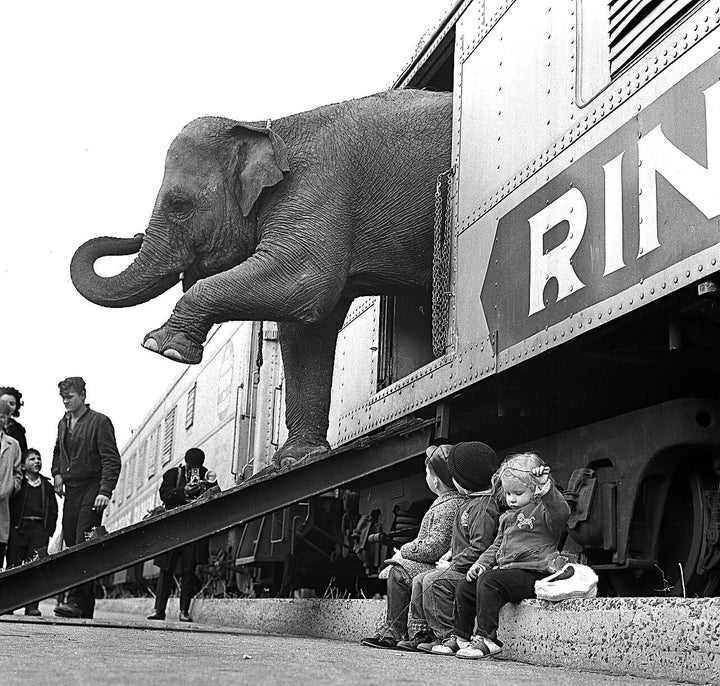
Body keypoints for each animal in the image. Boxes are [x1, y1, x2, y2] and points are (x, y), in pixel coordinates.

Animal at [71, 90, 450, 468]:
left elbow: (306, 283)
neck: (265, 125)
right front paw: (297, 459)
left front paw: (164, 347)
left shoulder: (319, 190)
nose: (134, 235)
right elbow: (307, 328)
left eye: (179, 205)